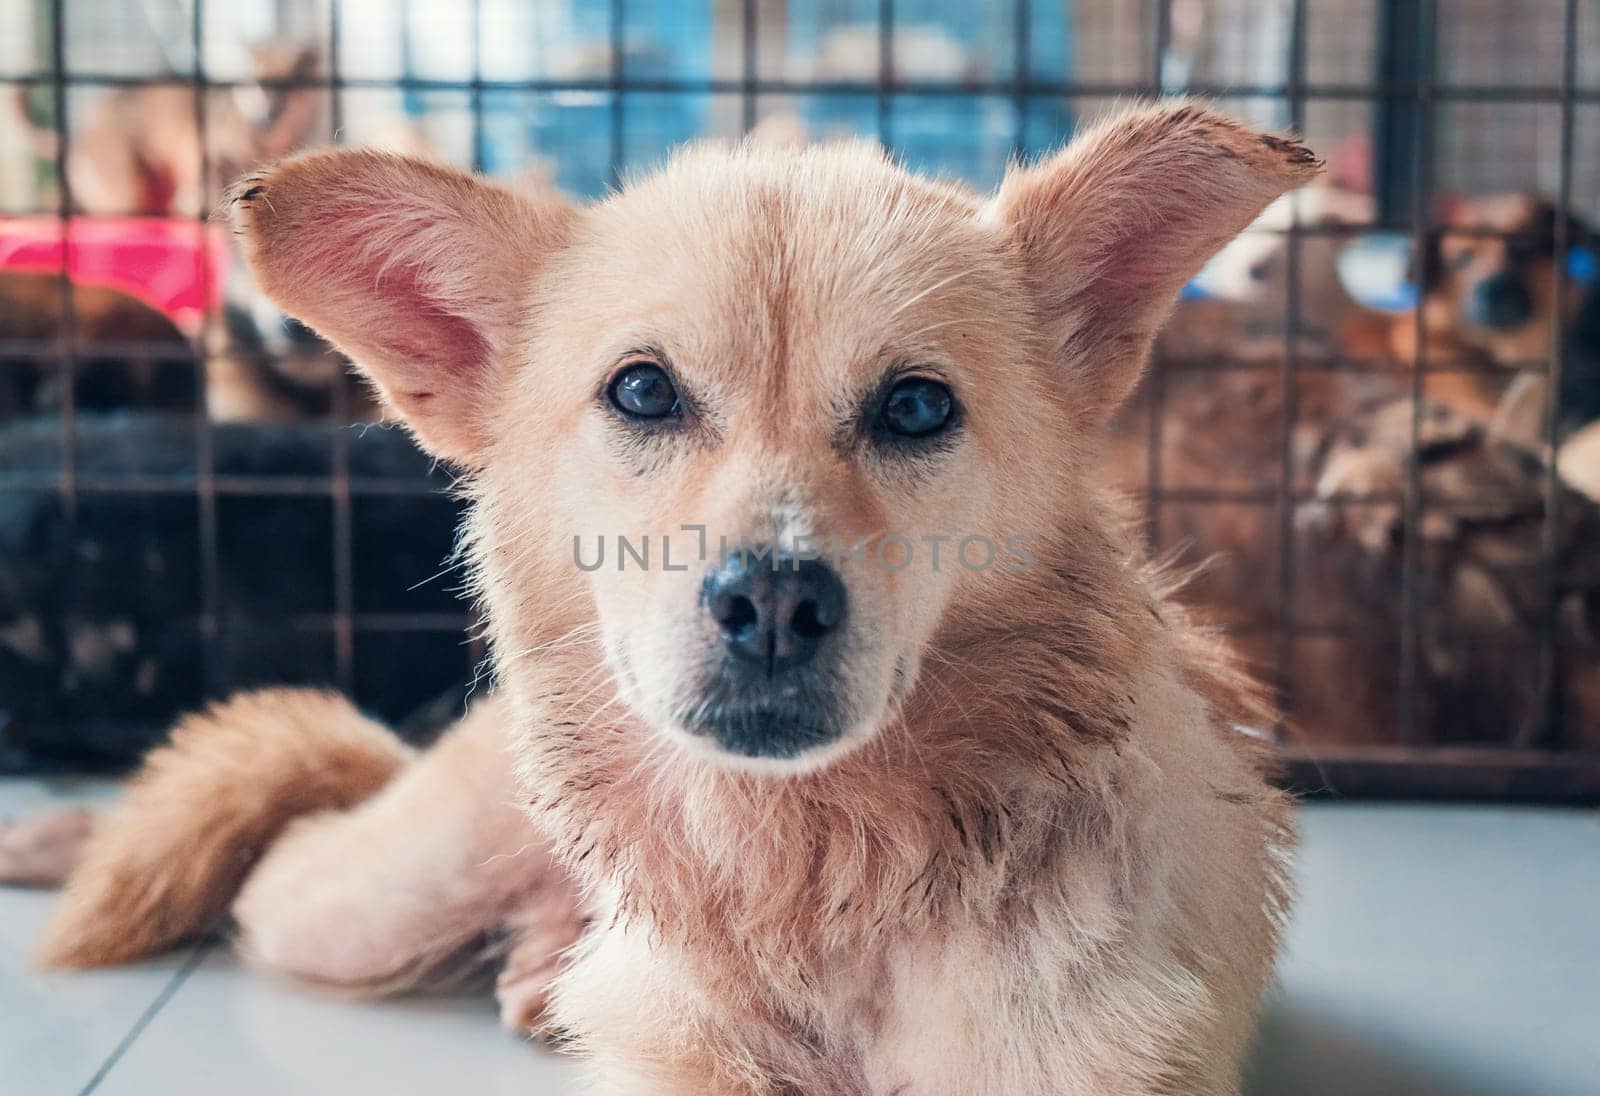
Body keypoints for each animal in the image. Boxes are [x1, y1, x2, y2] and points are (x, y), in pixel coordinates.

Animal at [6, 104, 1318, 1094]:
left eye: (915, 407)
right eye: (642, 390)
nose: (773, 603)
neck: (813, 881)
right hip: (364, 903)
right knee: (283, 816)